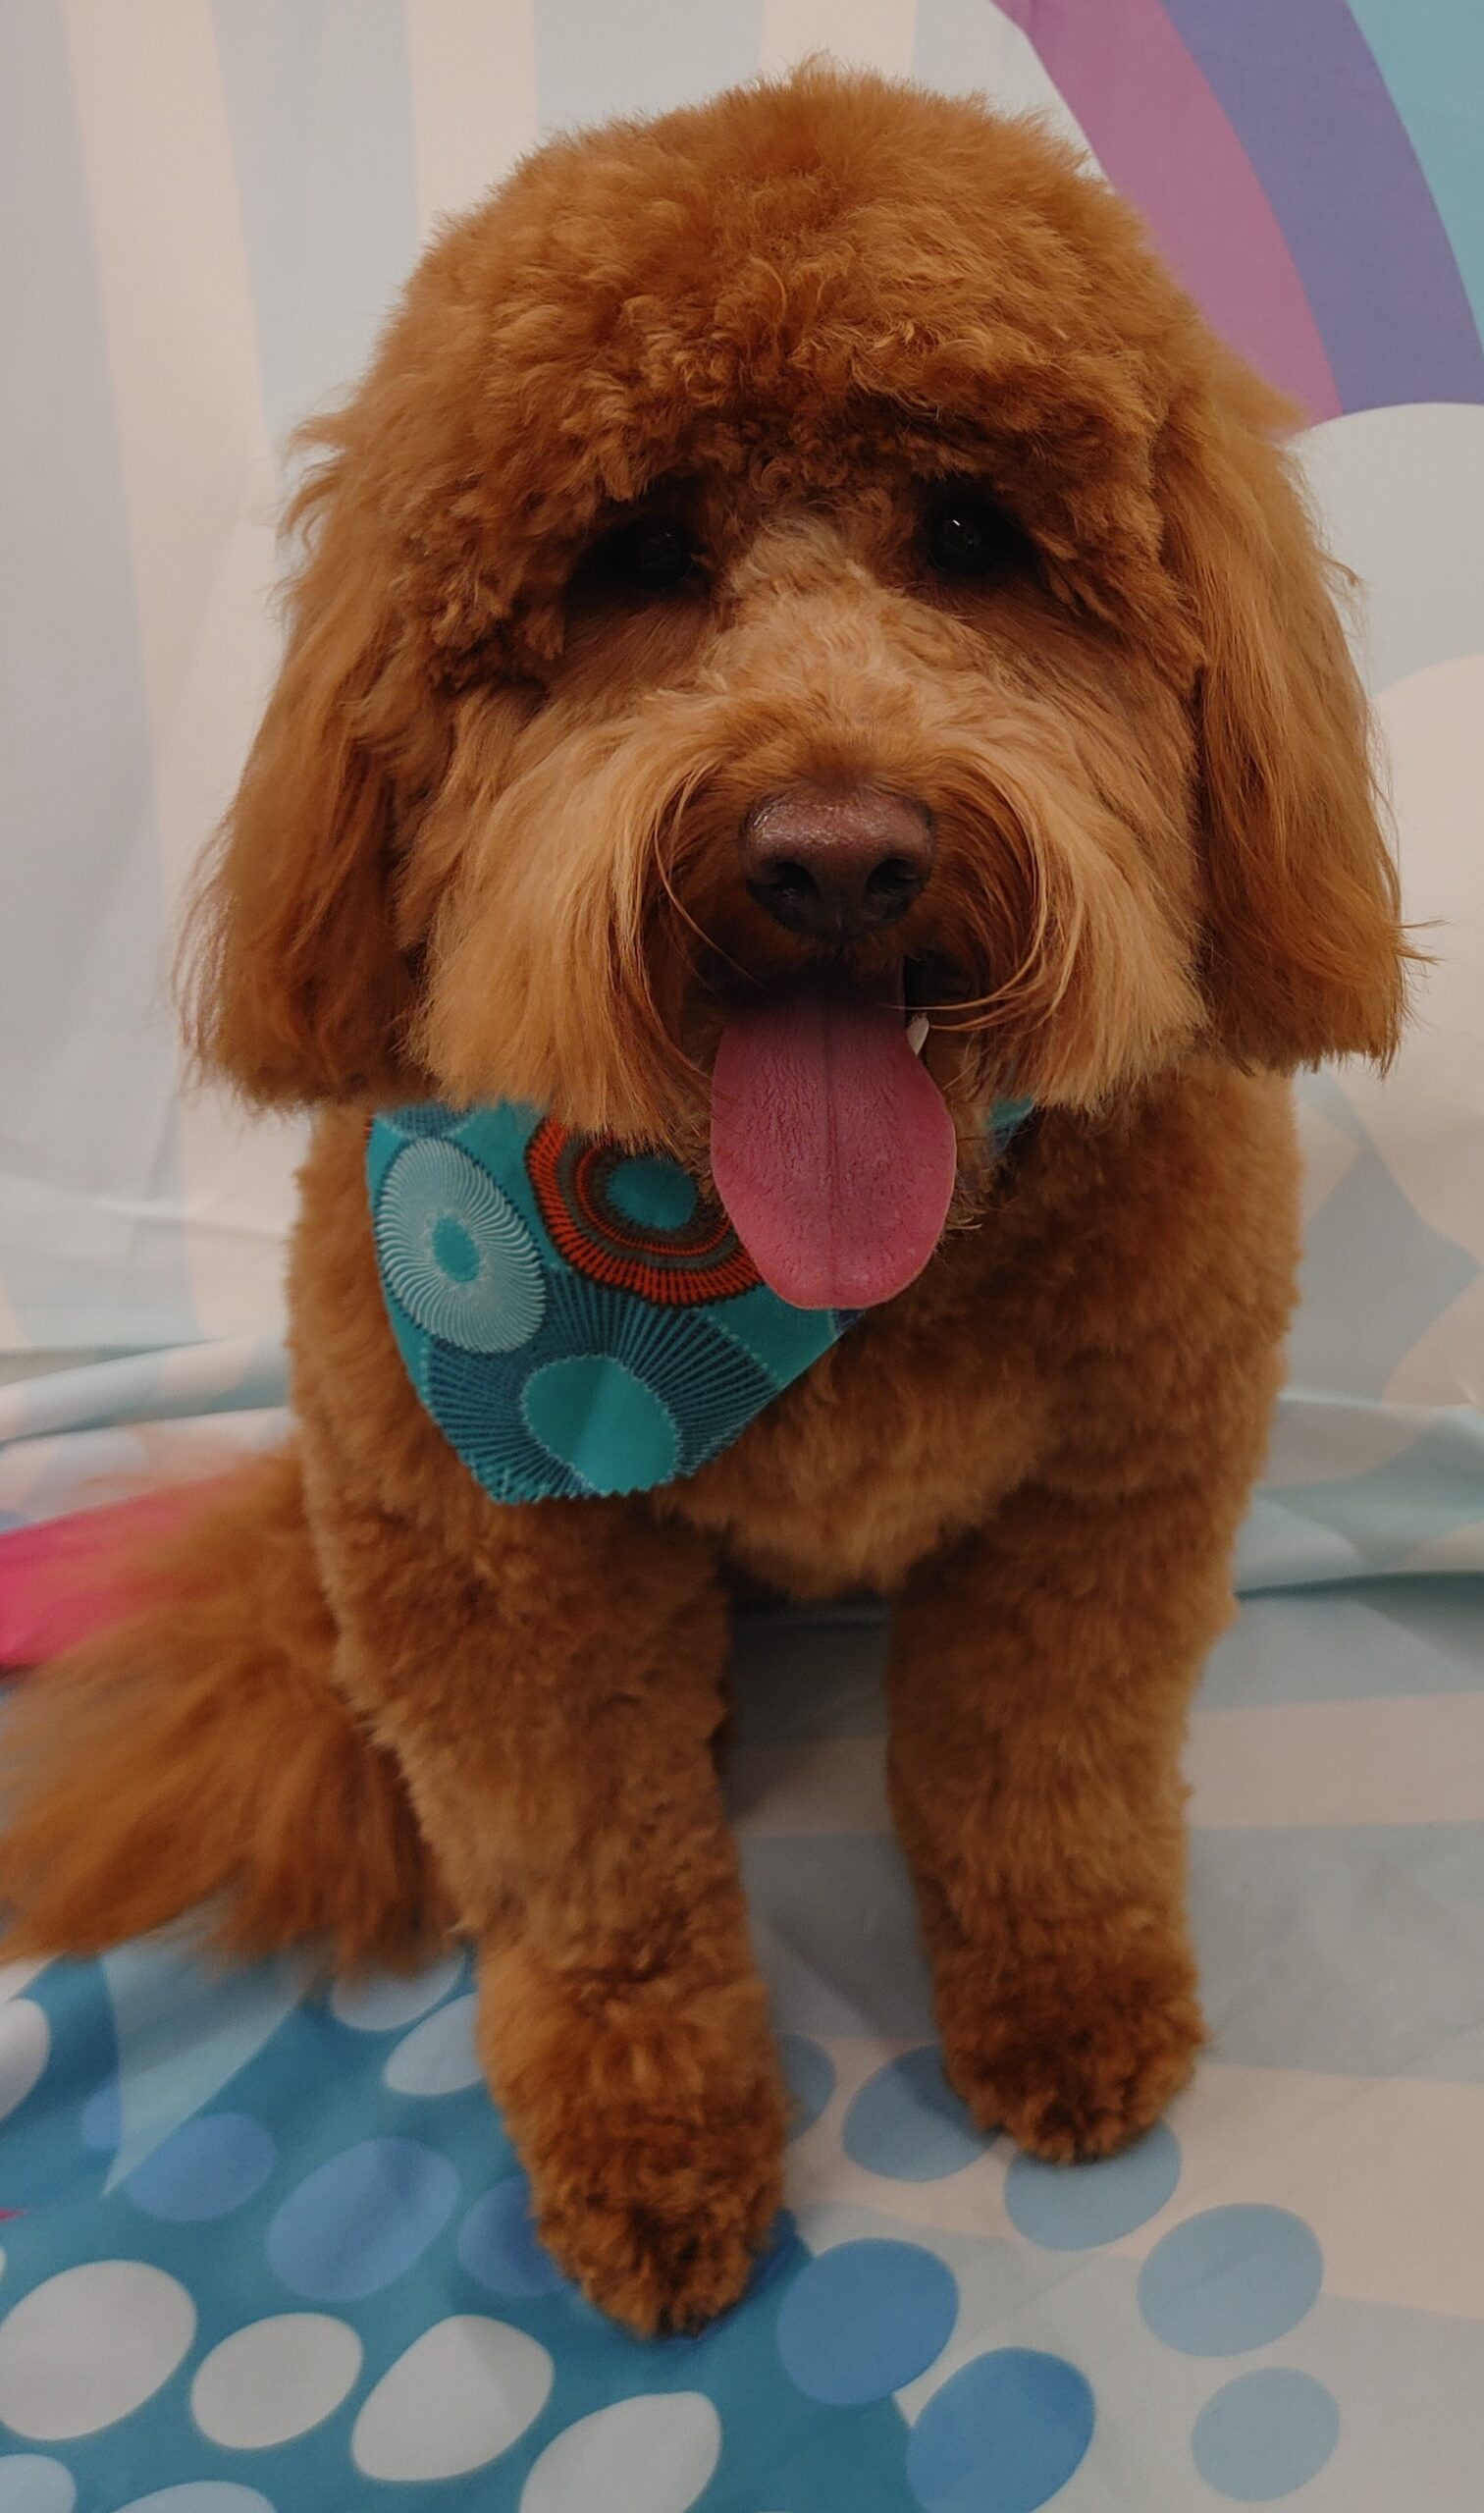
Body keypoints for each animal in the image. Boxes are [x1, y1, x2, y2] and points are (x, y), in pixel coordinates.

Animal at [0, 63, 1405, 2331]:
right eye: (635, 554)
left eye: (974, 536)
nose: (834, 851)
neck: (775, 1275)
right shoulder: (499, 1578)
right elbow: (595, 1882)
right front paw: (654, 2147)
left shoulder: (1107, 1497)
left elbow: (1045, 1770)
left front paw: (1066, 2003)